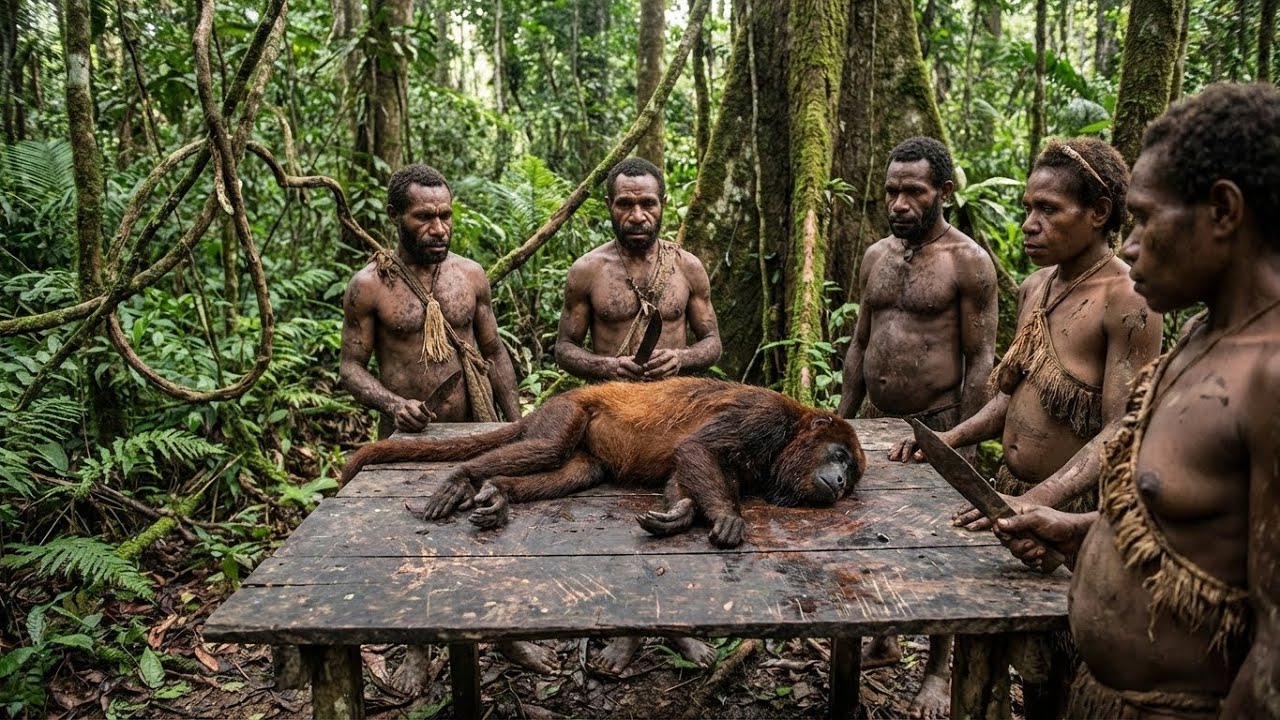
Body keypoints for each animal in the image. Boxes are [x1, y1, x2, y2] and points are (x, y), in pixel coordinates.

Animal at [341, 377, 867, 548]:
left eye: (851, 473)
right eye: (840, 455)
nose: (842, 480)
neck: (790, 436)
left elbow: (683, 475)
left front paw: (679, 515)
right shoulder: (762, 418)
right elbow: (695, 451)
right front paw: (727, 518)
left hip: (583, 451)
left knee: (575, 472)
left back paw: (500, 492)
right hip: (567, 413)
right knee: (548, 448)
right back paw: (463, 478)